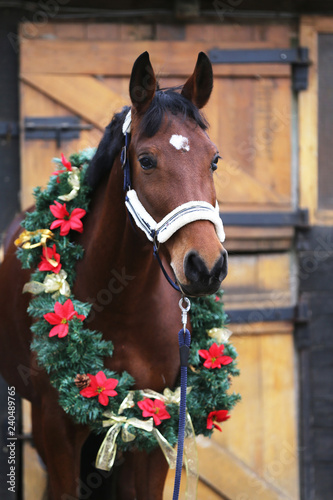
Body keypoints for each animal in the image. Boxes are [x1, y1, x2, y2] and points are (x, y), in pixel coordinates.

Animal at [0, 52, 226, 498]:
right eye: (146, 160)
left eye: (213, 159)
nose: (206, 266)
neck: (124, 305)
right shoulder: (57, 426)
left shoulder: (158, 420)